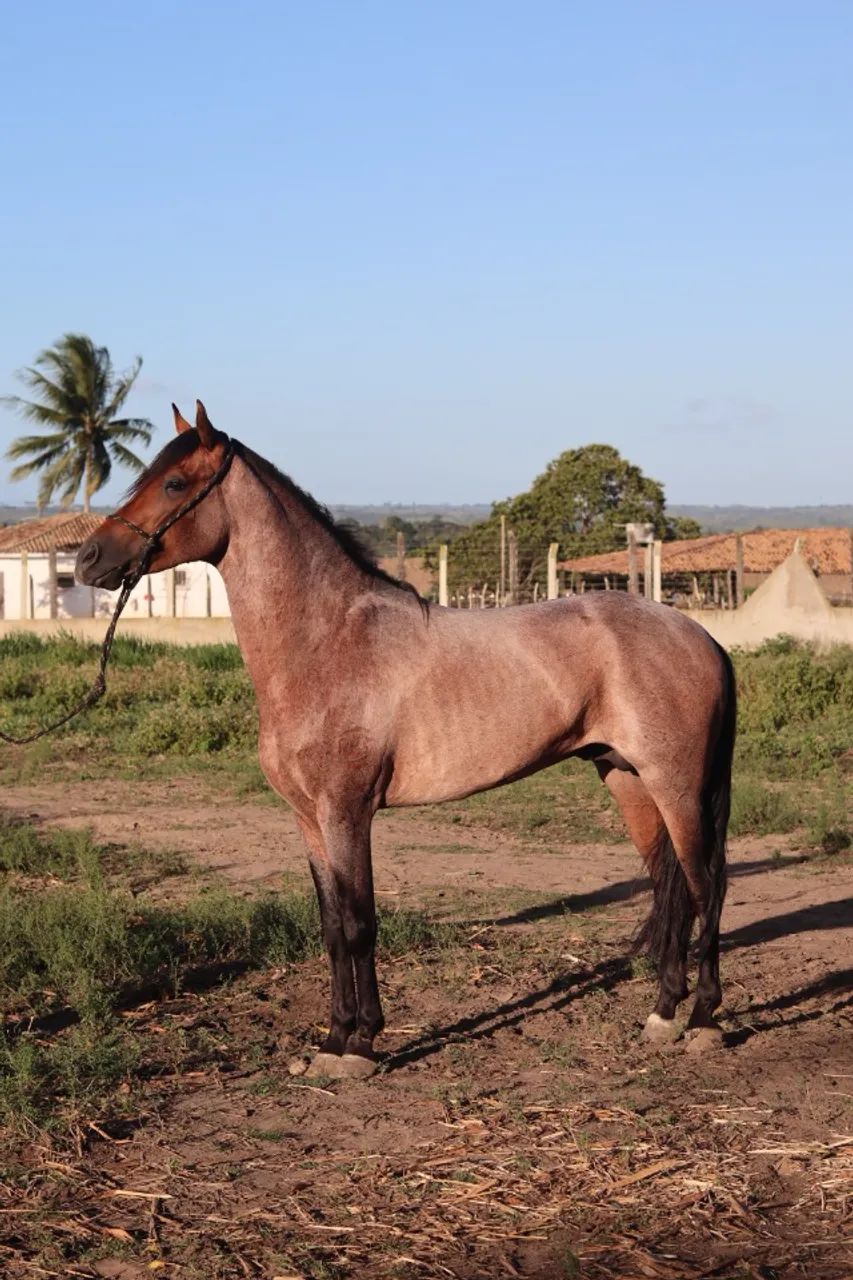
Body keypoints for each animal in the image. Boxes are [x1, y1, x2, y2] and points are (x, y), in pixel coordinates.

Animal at [76, 402, 736, 1079]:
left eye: (174, 483)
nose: (87, 559)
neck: (326, 643)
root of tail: (701, 636)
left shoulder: (347, 813)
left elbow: (360, 922)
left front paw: (362, 1045)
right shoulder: (309, 819)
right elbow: (331, 927)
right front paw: (334, 1039)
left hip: (676, 786)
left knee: (707, 884)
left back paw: (703, 1021)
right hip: (628, 780)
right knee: (670, 886)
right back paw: (663, 1015)